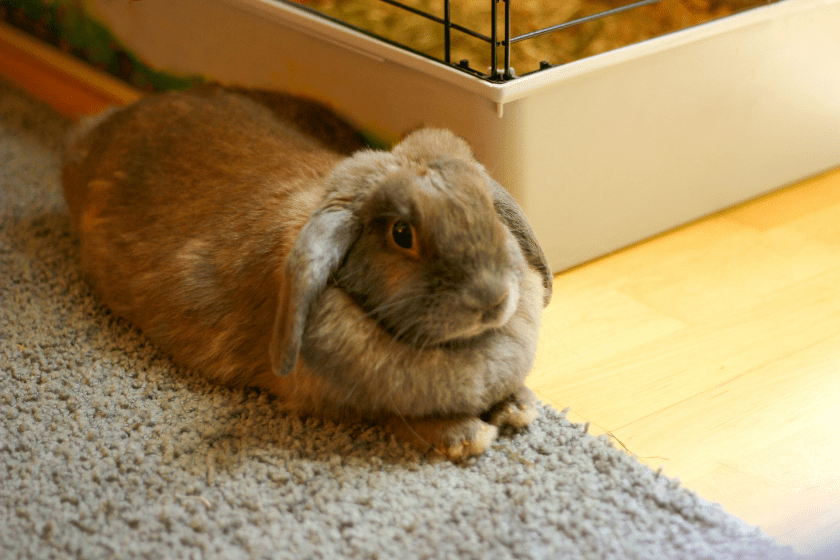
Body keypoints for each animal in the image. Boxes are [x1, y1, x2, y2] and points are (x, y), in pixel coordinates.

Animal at [64, 84, 552, 460]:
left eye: (487, 208)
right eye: (401, 234)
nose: (493, 300)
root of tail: (98, 129)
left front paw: (519, 406)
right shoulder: (358, 405)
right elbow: (403, 418)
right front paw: (469, 435)